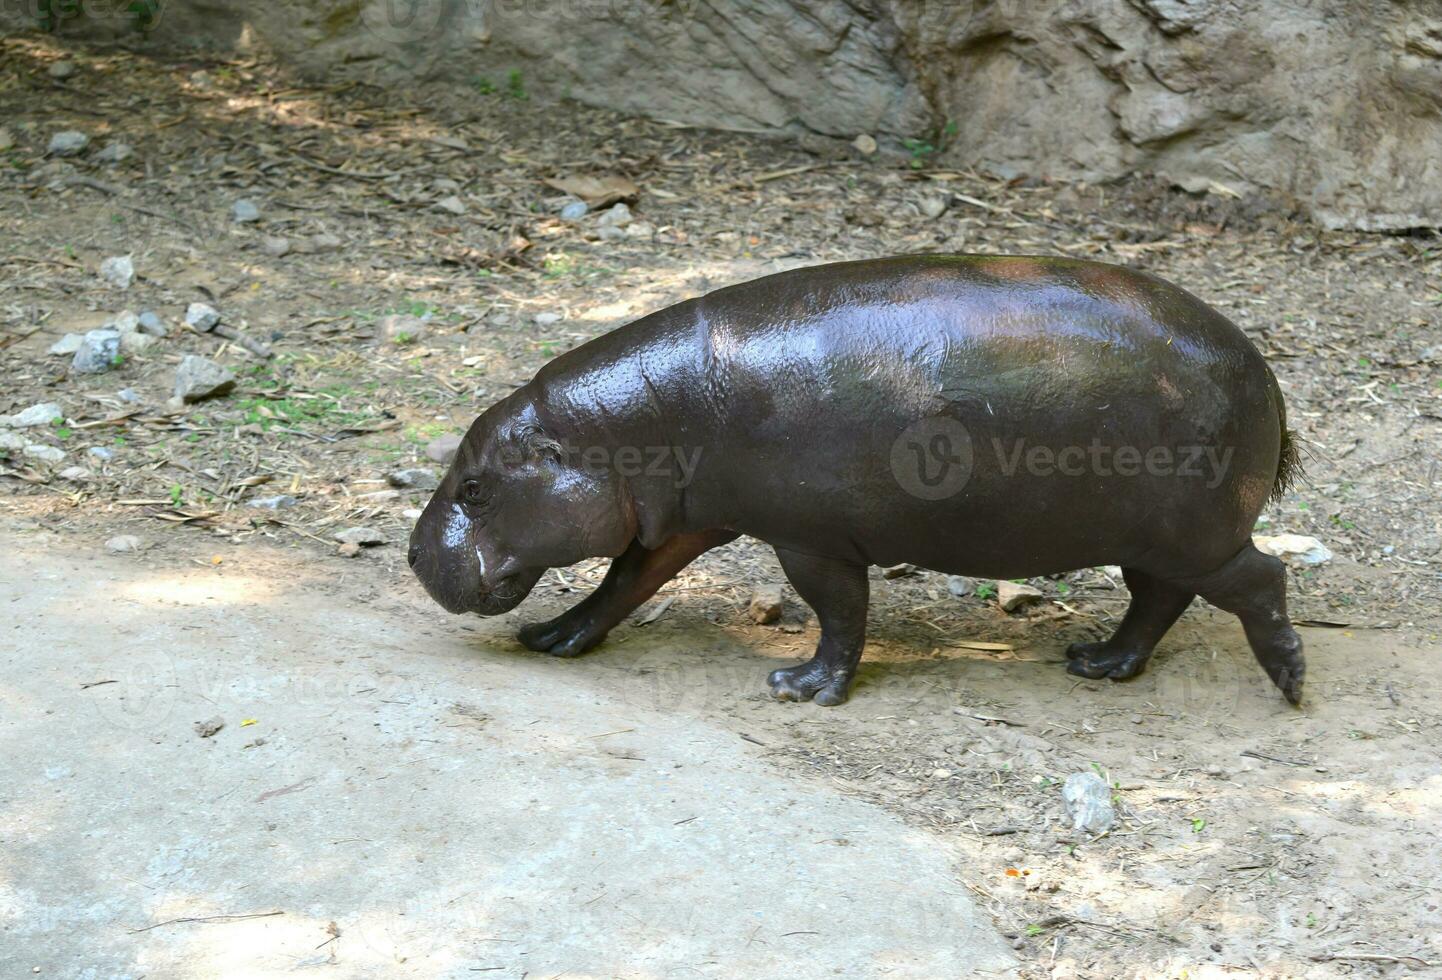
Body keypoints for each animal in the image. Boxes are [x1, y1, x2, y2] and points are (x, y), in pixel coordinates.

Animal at [409, 256, 1309, 703]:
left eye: (475, 488)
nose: (415, 555)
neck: (625, 428)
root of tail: (1268, 374)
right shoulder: (685, 520)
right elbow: (626, 582)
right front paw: (554, 639)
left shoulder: (808, 538)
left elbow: (839, 613)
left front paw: (800, 688)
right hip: (1148, 534)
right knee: (1158, 598)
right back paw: (1098, 664)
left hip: (1192, 531)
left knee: (1260, 578)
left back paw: (1289, 684)